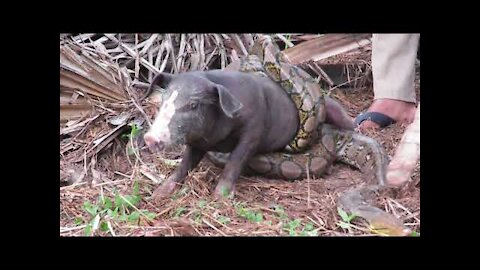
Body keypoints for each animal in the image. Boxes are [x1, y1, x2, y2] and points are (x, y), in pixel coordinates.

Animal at [142, 70, 352, 199]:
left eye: (193, 105)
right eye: (163, 99)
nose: (149, 138)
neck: (217, 139)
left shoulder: (254, 130)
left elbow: (236, 160)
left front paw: (220, 197)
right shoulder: (197, 140)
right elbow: (185, 164)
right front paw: (158, 193)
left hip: (332, 109)